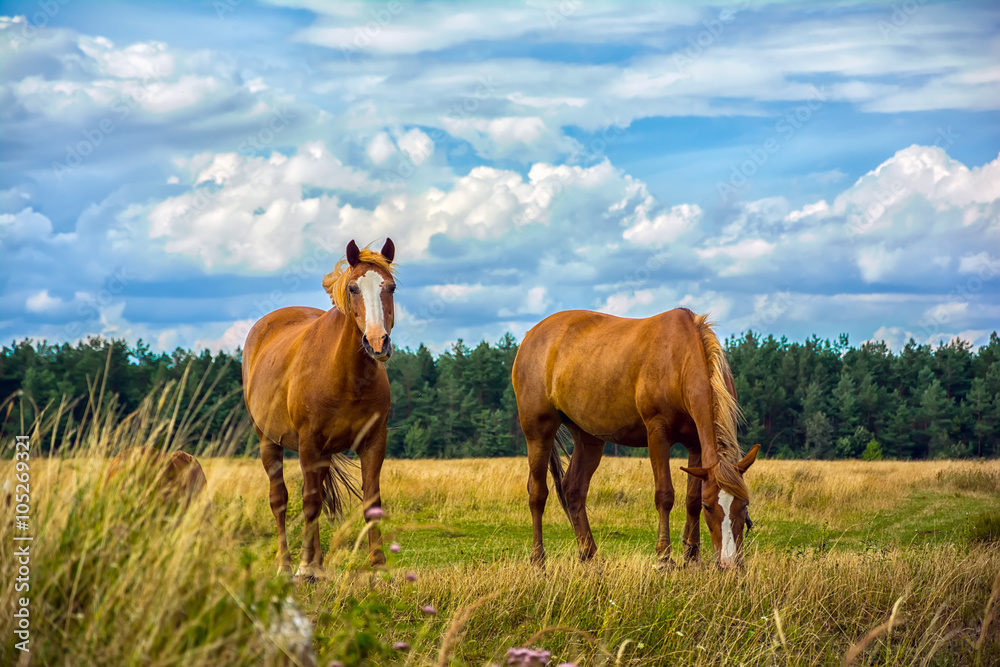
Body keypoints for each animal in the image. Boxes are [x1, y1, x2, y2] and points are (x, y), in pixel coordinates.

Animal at [243, 239, 398, 580]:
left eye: (391, 287)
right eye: (353, 288)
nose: (377, 342)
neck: (346, 375)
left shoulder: (373, 441)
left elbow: (370, 500)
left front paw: (379, 567)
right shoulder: (308, 443)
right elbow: (309, 503)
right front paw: (303, 567)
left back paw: (318, 565)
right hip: (269, 441)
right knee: (281, 500)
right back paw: (289, 565)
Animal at [512, 308, 760, 568]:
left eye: (744, 504)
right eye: (709, 507)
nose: (729, 563)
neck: (678, 362)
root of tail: (531, 336)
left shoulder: (696, 445)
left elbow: (691, 498)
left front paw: (692, 557)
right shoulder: (657, 434)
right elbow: (665, 494)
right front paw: (664, 557)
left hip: (588, 437)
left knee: (573, 489)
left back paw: (590, 555)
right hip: (538, 432)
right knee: (537, 493)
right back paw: (538, 559)